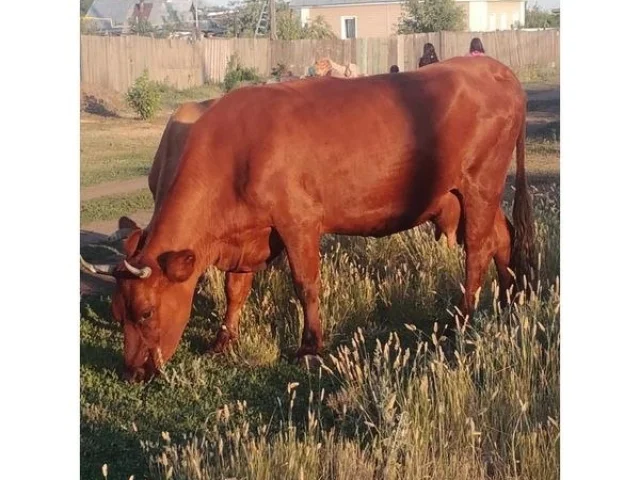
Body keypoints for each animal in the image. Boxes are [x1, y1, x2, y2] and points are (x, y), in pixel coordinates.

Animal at [81, 56, 536, 382]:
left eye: (145, 313)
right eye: (117, 313)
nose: (132, 372)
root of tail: (493, 67)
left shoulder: (297, 222)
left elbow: (306, 284)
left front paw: (309, 347)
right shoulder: (249, 234)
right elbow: (235, 290)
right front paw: (222, 341)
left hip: (480, 186)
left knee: (478, 248)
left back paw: (464, 317)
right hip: (466, 197)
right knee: (502, 238)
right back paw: (508, 300)